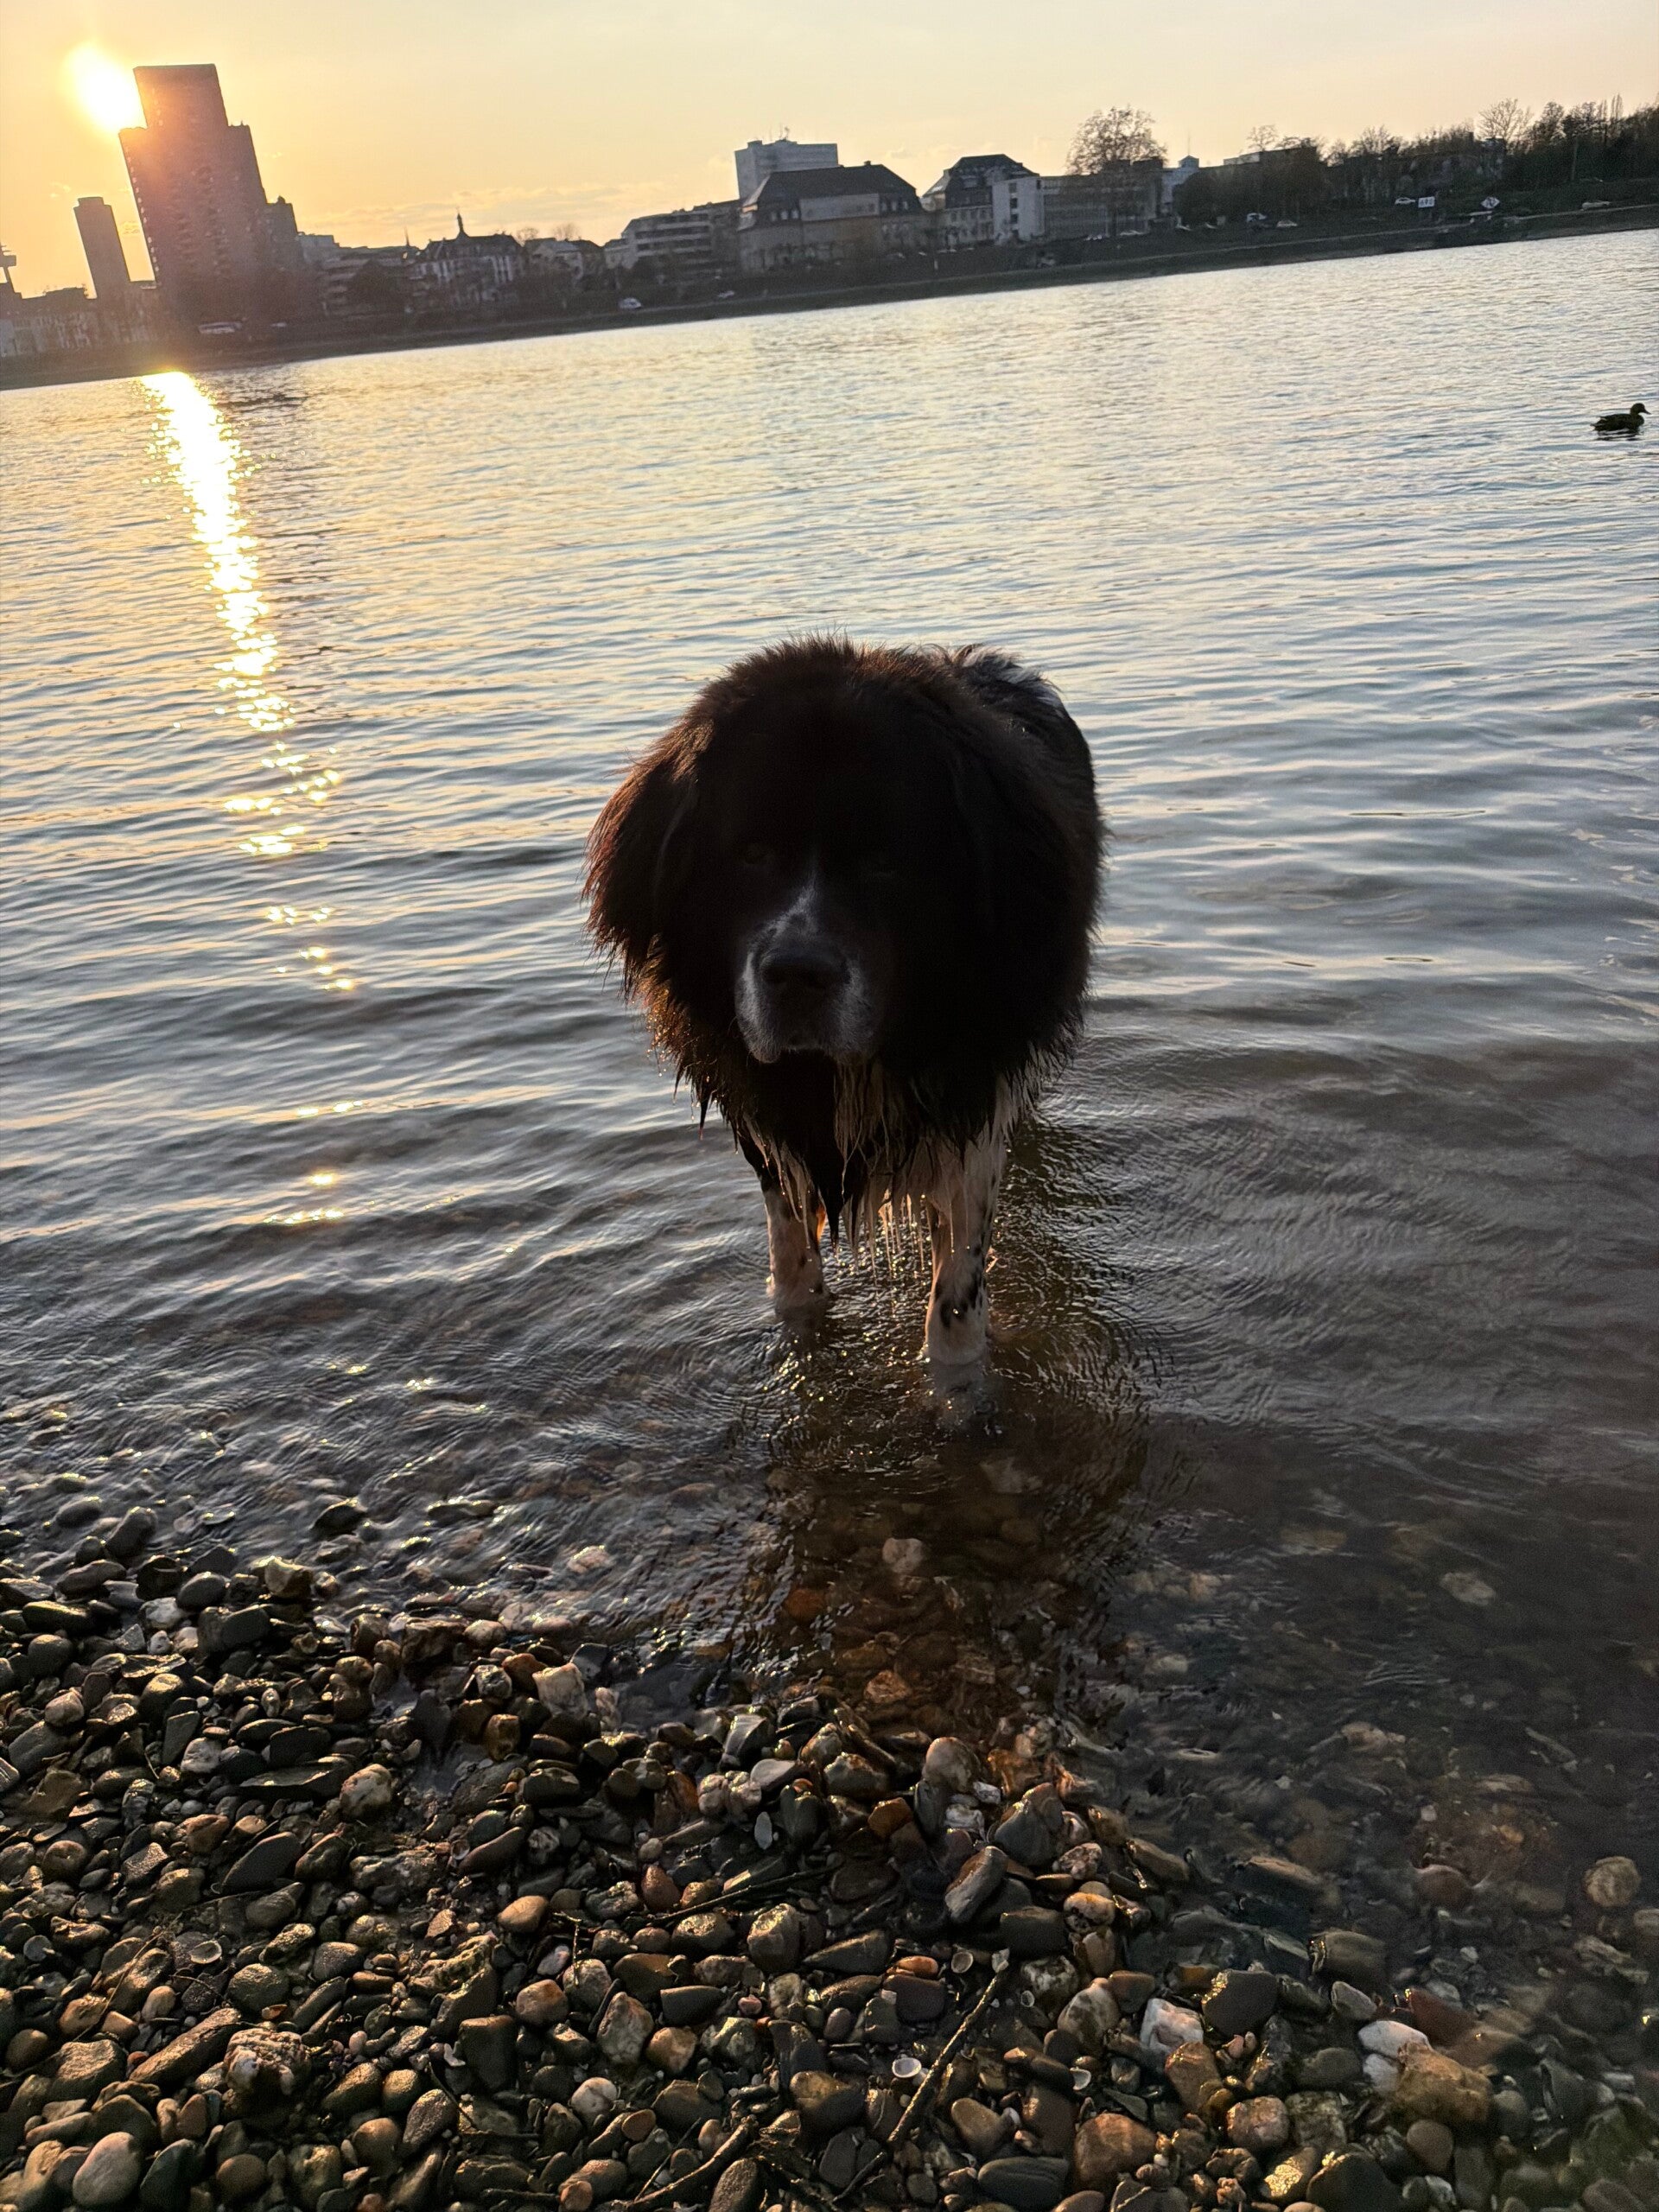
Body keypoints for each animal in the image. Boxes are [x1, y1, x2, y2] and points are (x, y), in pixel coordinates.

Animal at [585, 637, 1101, 1362]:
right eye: (751, 852)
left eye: (886, 860)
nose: (797, 973)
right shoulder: (765, 1115)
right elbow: (792, 1264)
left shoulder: (974, 1098)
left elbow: (956, 1297)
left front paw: (954, 1378)